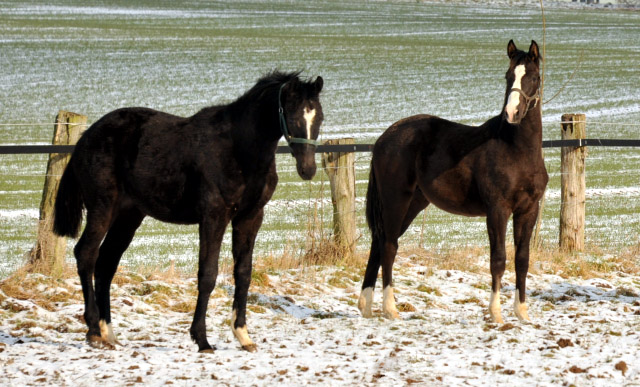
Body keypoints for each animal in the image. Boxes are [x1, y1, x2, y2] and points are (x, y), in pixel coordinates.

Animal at [53, 69, 324, 352]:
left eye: (319, 116)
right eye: (291, 115)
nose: (308, 169)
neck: (238, 149)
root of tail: (85, 139)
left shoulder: (250, 217)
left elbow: (243, 273)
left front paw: (243, 335)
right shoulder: (214, 216)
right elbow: (208, 274)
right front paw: (202, 339)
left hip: (129, 216)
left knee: (106, 263)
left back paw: (108, 333)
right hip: (102, 207)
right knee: (86, 254)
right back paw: (94, 331)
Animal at [358, 40, 548, 324]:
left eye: (534, 77)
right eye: (508, 76)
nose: (512, 113)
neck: (516, 149)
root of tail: (383, 139)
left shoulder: (528, 209)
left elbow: (522, 260)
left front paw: (522, 313)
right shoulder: (498, 209)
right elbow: (498, 259)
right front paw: (495, 314)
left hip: (414, 203)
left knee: (378, 244)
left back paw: (366, 306)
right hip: (396, 200)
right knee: (389, 246)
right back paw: (390, 309)